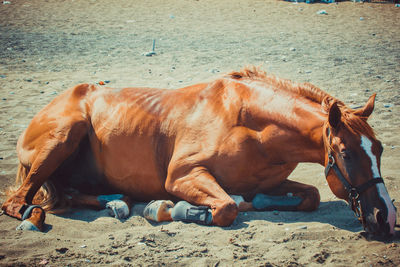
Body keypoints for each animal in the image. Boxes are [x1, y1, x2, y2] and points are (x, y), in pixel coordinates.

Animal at [1, 66, 396, 237]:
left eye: (378, 149)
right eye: (346, 153)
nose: (386, 217)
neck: (249, 124)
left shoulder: (271, 182)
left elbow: (310, 195)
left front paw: (254, 201)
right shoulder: (183, 176)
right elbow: (226, 208)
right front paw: (173, 209)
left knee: (69, 193)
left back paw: (117, 201)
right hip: (63, 137)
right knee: (19, 201)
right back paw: (34, 218)